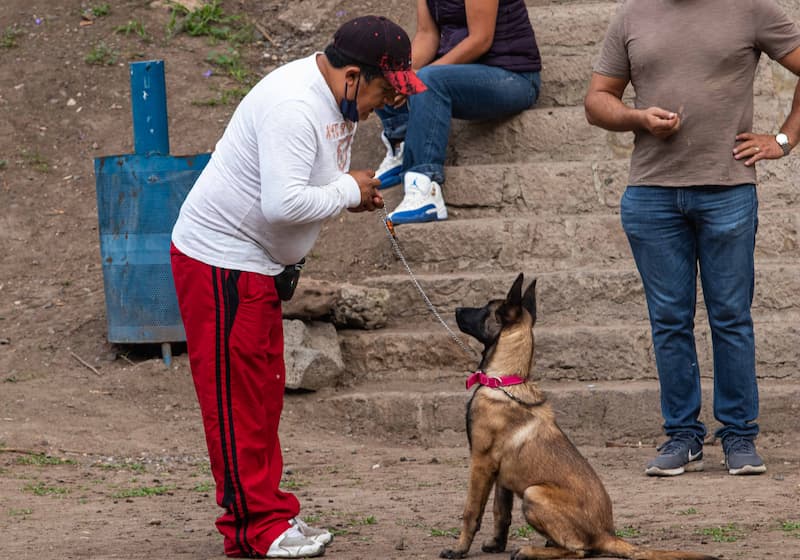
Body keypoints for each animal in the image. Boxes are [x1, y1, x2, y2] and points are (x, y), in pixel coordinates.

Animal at [440, 274, 720, 560]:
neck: (504, 380)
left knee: (579, 550)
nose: (456, 310)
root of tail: (607, 534)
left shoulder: (481, 462)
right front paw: (496, 544)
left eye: (485, 309)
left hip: (534, 492)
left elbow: (471, 512)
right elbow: (501, 512)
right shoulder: (501, 472)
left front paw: (458, 549)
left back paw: (530, 550)